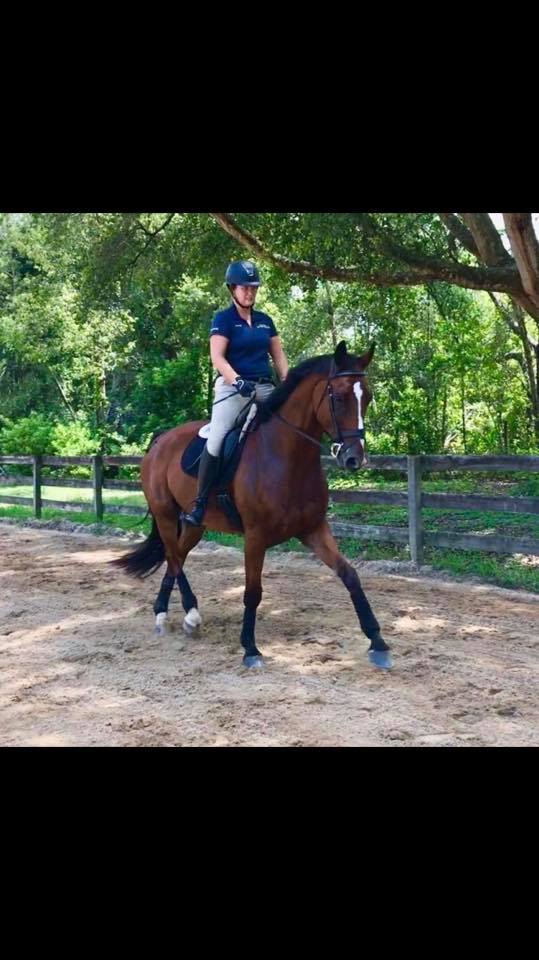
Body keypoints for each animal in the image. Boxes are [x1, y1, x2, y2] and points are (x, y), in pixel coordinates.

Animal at [111, 340, 392, 670]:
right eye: (338, 396)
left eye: (368, 397)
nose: (354, 458)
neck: (288, 458)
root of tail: (160, 441)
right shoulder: (255, 537)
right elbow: (252, 592)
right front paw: (250, 648)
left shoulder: (313, 529)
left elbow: (350, 575)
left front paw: (378, 642)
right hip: (166, 515)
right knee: (174, 557)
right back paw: (189, 614)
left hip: (195, 524)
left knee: (175, 555)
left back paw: (165, 612)